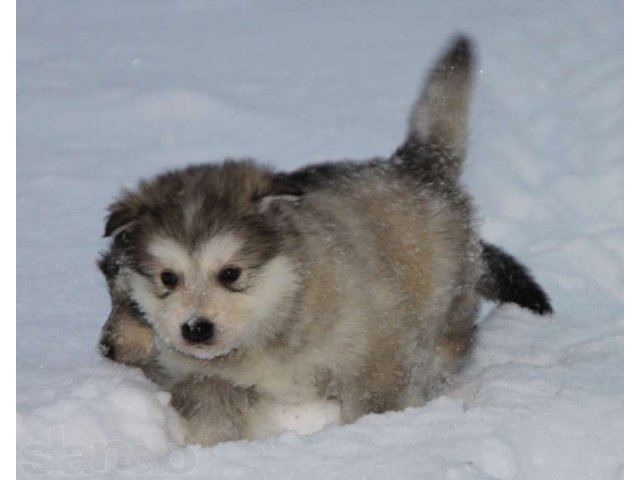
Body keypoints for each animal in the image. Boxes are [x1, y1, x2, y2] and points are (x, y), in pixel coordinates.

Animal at [97, 37, 552, 446]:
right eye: (166, 278)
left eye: (231, 273)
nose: (195, 329)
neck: (269, 325)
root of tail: (416, 165)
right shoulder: (203, 377)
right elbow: (212, 416)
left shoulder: (376, 351)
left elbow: (376, 400)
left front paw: (375, 436)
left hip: (446, 310)